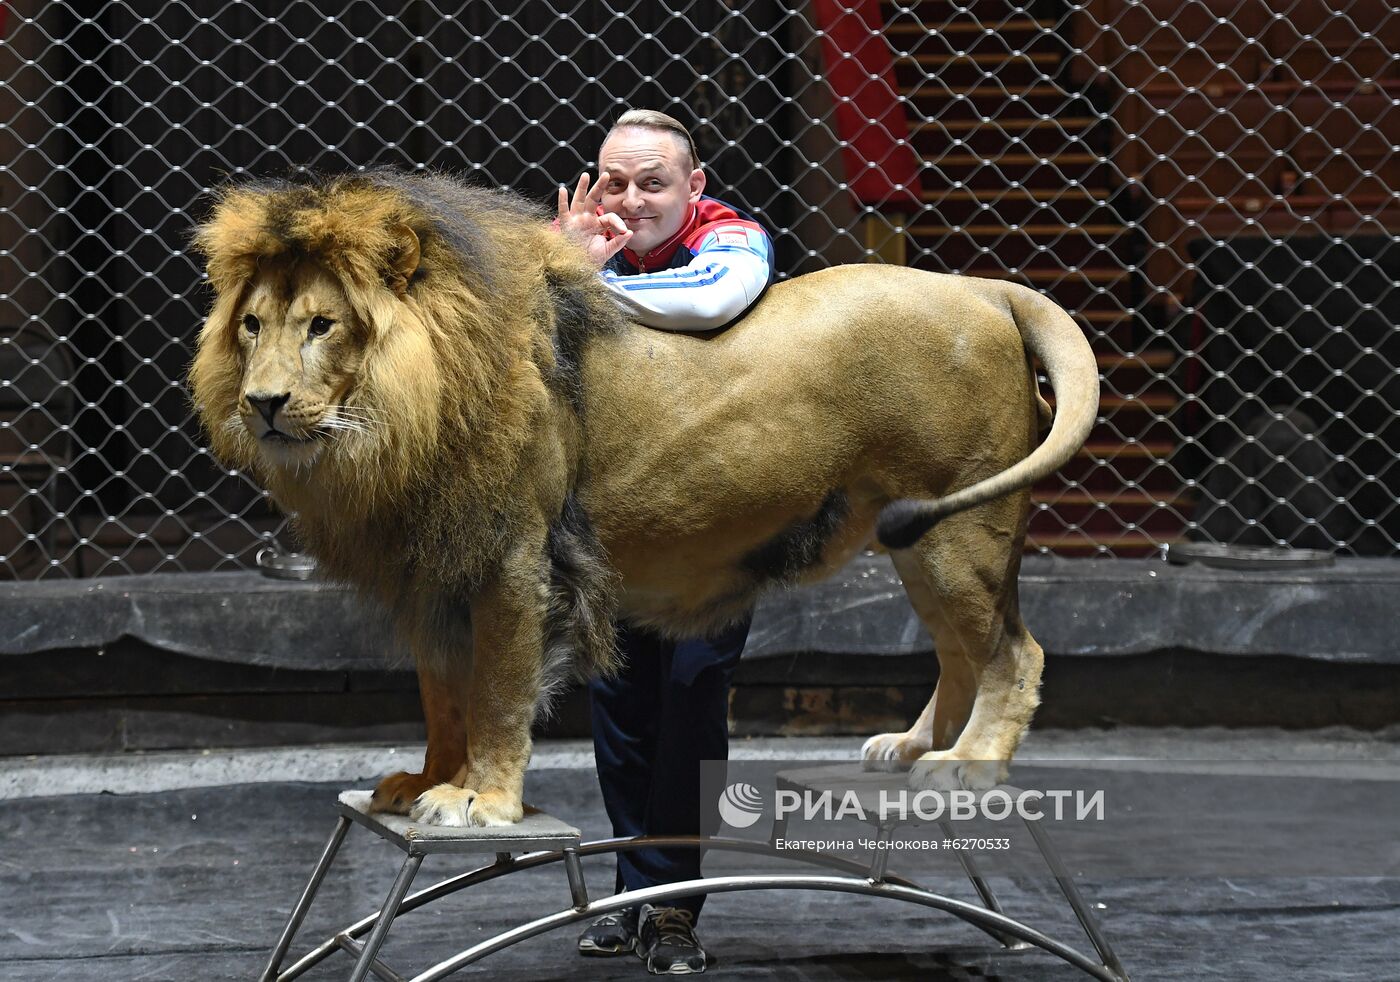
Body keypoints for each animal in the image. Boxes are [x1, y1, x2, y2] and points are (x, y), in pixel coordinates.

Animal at [189, 170, 1103, 829]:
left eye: (321, 325)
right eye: (251, 325)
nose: (262, 404)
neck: (401, 415)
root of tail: (982, 286)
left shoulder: (515, 562)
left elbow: (496, 692)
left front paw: (480, 799)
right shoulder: (436, 572)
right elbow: (442, 695)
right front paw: (426, 780)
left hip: (961, 527)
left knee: (1013, 652)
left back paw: (966, 766)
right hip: (919, 537)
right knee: (959, 650)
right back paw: (911, 750)